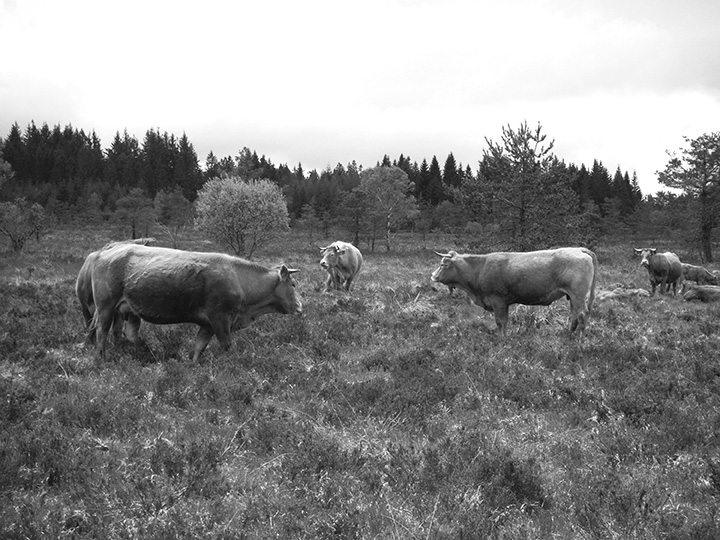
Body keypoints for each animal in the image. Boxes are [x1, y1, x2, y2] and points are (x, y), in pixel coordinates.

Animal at [88, 245, 302, 362]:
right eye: (293, 284)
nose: (301, 306)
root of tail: (104, 251)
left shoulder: (207, 325)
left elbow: (199, 348)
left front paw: (193, 366)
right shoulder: (220, 320)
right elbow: (227, 346)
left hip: (128, 311)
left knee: (127, 333)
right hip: (106, 306)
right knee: (102, 332)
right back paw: (101, 359)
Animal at [430, 248, 600, 334]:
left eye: (443, 264)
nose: (432, 275)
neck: (480, 268)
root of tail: (579, 249)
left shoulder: (497, 300)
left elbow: (500, 322)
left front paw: (501, 339)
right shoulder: (503, 303)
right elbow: (504, 322)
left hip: (578, 295)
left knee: (582, 315)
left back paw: (578, 340)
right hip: (572, 297)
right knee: (574, 317)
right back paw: (568, 336)